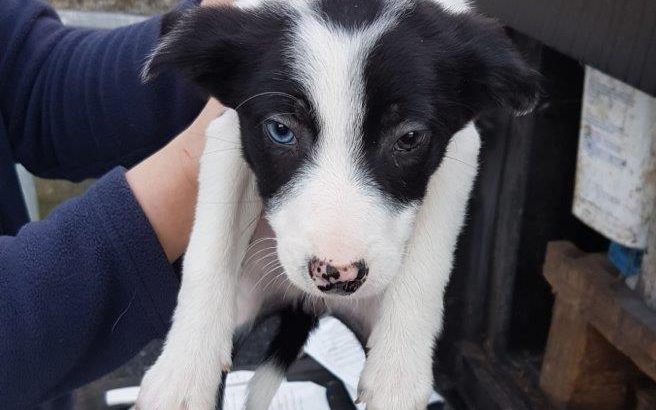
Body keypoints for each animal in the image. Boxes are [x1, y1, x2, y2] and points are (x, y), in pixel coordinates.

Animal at [135, 0, 540, 408]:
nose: (336, 275)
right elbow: (210, 245)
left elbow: (428, 258)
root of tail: (309, 303)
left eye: (410, 138)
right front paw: (182, 373)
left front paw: (399, 371)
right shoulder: (226, 132)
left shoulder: (461, 148)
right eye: (280, 130)